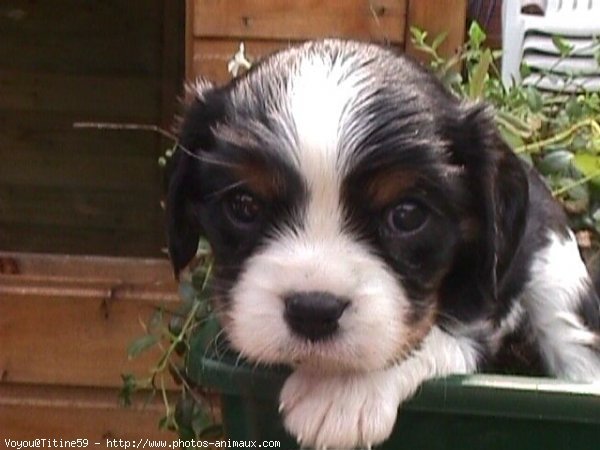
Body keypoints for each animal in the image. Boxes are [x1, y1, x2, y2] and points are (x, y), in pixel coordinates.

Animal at [166, 39, 600, 450]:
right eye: (244, 205)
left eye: (406, 215)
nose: (313, 310)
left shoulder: (482, 308)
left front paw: (344, 392)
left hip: (557, 274)